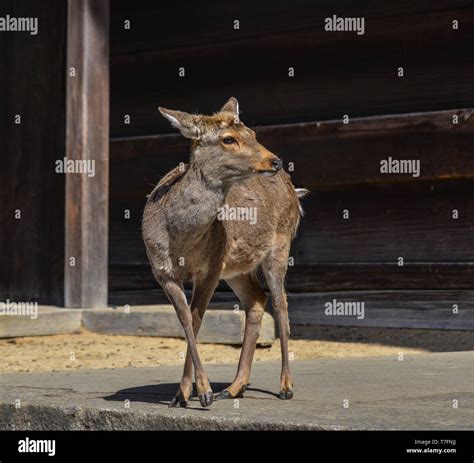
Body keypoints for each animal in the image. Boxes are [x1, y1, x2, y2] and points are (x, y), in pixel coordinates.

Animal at [143, 97, 310, 406]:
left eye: (253, 134)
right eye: (229, 138)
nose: (276, 161)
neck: (179, 239)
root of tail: (295, 191)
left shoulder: (210, 268)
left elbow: (196, 319)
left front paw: (200, 392)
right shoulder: (163, 271)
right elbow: (186, 320)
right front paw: (185, 393)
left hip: (279, 245)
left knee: (281, 303)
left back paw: (285, 386)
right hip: (234, 267)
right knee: (256, 299)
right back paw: (234, 387)